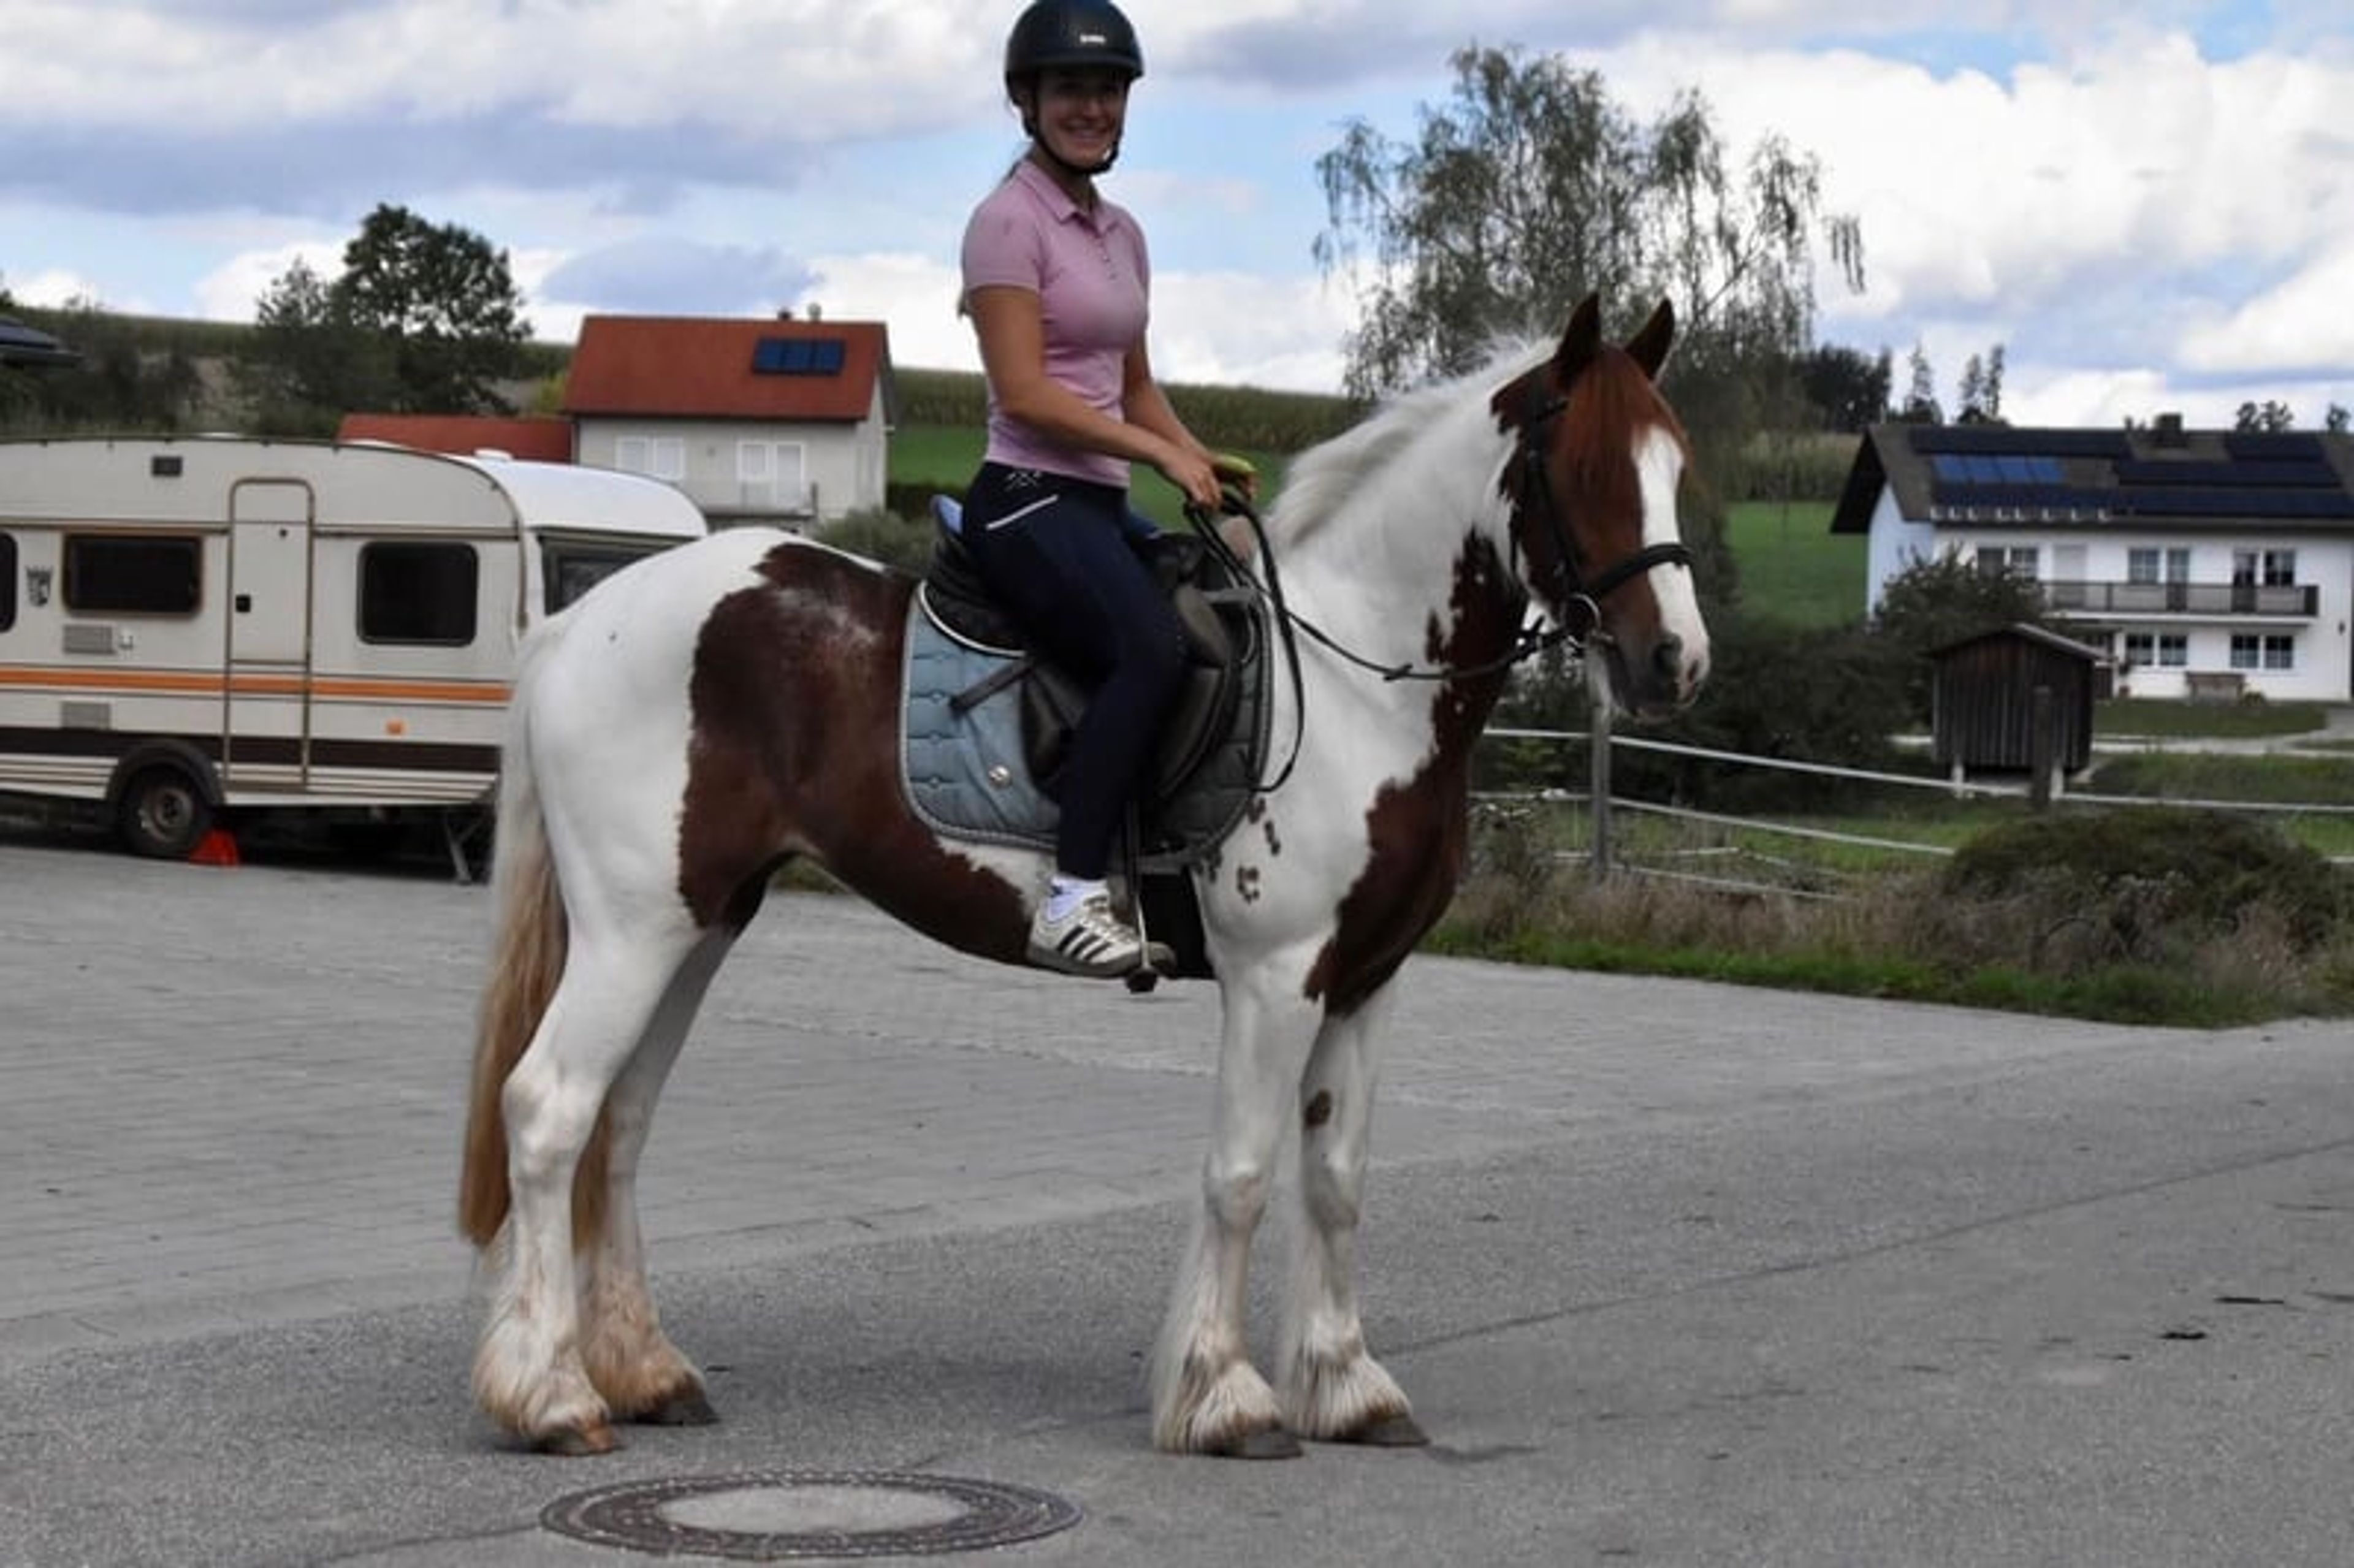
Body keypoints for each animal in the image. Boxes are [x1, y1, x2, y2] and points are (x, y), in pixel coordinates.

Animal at [456, 293, 1710, 1458]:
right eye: (1586, 468)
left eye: (1677, 467)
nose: (1676, 663)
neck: (1359, 686)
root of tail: (581, 621)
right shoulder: (1277, 977)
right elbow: (1241, 1172)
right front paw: (1226, 1396)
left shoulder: (1368, 978)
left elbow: (1337, 1176)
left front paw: (1349, 1384)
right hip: (632, 930)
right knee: (550, 1110)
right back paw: (554, 1396)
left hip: (699, 923)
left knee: (620, 1121)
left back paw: (645, 1371)